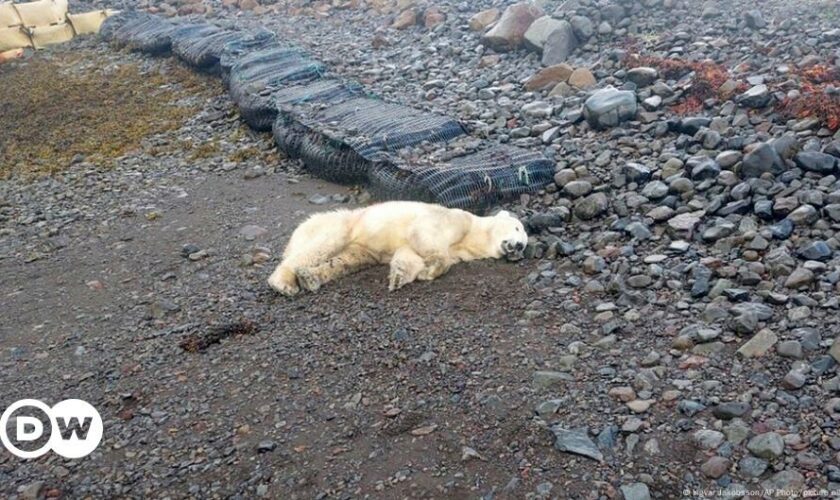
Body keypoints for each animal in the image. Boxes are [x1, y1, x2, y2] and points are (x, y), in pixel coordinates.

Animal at [270, 200, 528, 294]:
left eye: (525, 245)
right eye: (518, 228)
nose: (518, 247)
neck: (473, 235)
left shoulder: (459, 250)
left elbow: (409, 254)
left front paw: (399, 277)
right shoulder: (454, 219)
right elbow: (424, 235)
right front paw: (431, 269)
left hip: (360, 249)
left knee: (346, 260)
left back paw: (310, 278)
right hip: (341, 225)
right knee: (321, 246)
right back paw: (284, 283)